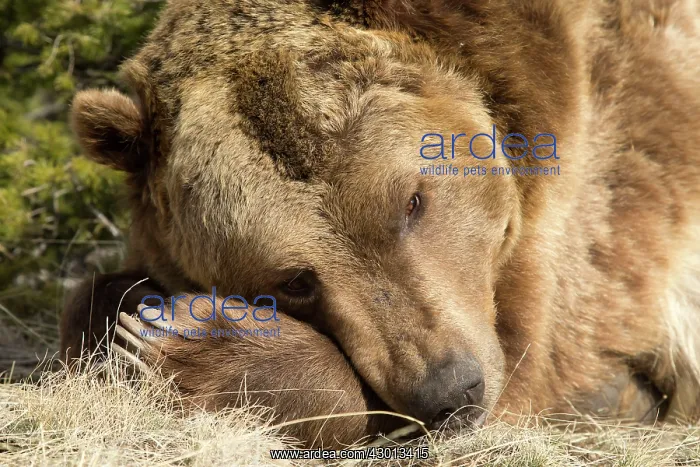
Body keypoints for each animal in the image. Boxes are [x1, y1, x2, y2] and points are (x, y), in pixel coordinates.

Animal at [60, 0, 700, 449]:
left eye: (410, 201)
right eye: (293, 279)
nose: (450, 390)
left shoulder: (601, 203)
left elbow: (531, 365)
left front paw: (188, 342)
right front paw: (126, 310)